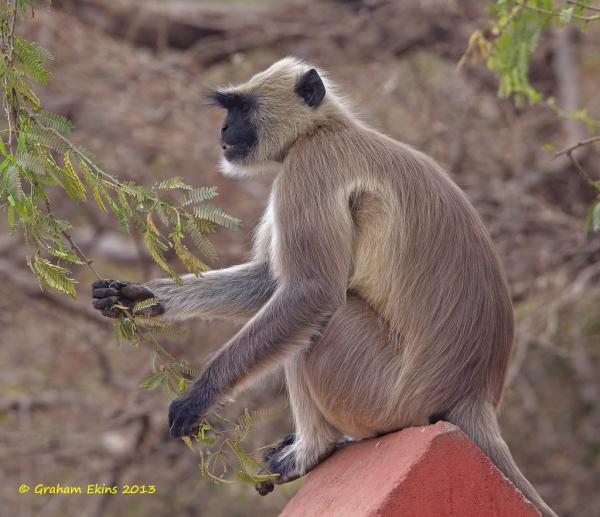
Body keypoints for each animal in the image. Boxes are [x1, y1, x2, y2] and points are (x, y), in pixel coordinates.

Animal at [91, 57, 556, 516]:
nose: (223, 129)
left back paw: (313, 450)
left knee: (325, 317)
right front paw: (137, 297)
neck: (326, 128)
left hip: (383, 394)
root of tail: (473, 394)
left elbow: (309, 291)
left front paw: (199, 396)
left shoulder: (309, 166)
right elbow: (269, 282)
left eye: (242, 109)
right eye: (229, 110)